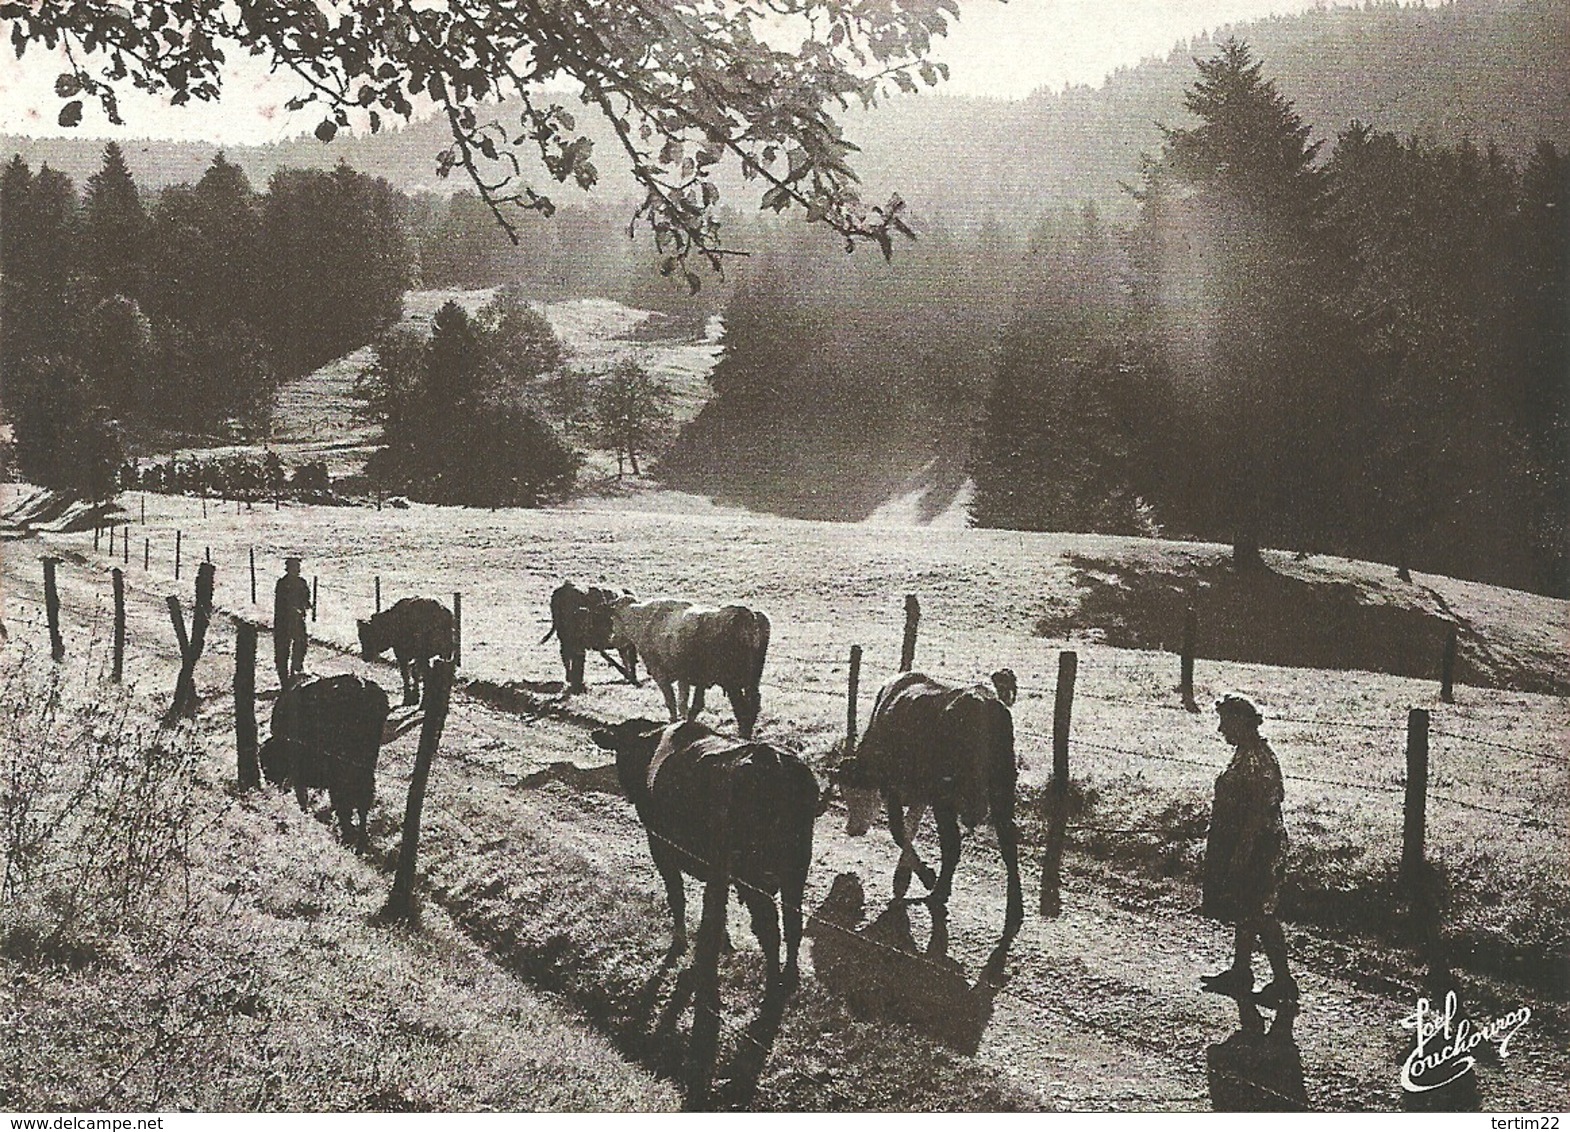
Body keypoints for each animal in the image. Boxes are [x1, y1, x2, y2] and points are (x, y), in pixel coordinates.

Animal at [590, 715, 822, 992]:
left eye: (621, 747)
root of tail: (771, 759)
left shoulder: (661, 847)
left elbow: (679, 897)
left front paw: (680, 943)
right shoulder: (716, 870)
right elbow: (716, 907)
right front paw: (726, 944)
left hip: (751, 873)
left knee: (768, 928)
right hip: (796, 867)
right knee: (791, 923)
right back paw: (789, 977)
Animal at [602, 596, 769, 737]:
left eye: (613, 619)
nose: (611, 638)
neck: (645, 621)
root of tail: (749, 616)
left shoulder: (660, 673)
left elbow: (672, 701)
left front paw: (673, 723)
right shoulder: (686, 678)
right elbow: (687, 702)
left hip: (732, 682)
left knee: (740, 706)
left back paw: (743, 734)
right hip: (752, 680)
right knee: (753, 701)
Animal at [841, 665, 1023, 942]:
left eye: (855, 793)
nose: (851, 829)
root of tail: (982, 701)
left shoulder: (895, 788)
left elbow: (898, 831)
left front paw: (924, 875)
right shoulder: (920, 796)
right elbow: (909, 829)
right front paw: (903, 876)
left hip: (946, 798)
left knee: (953, 845)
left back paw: (939, 892)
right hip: (1002, 787)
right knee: (1008, 843)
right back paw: (1015, 911)